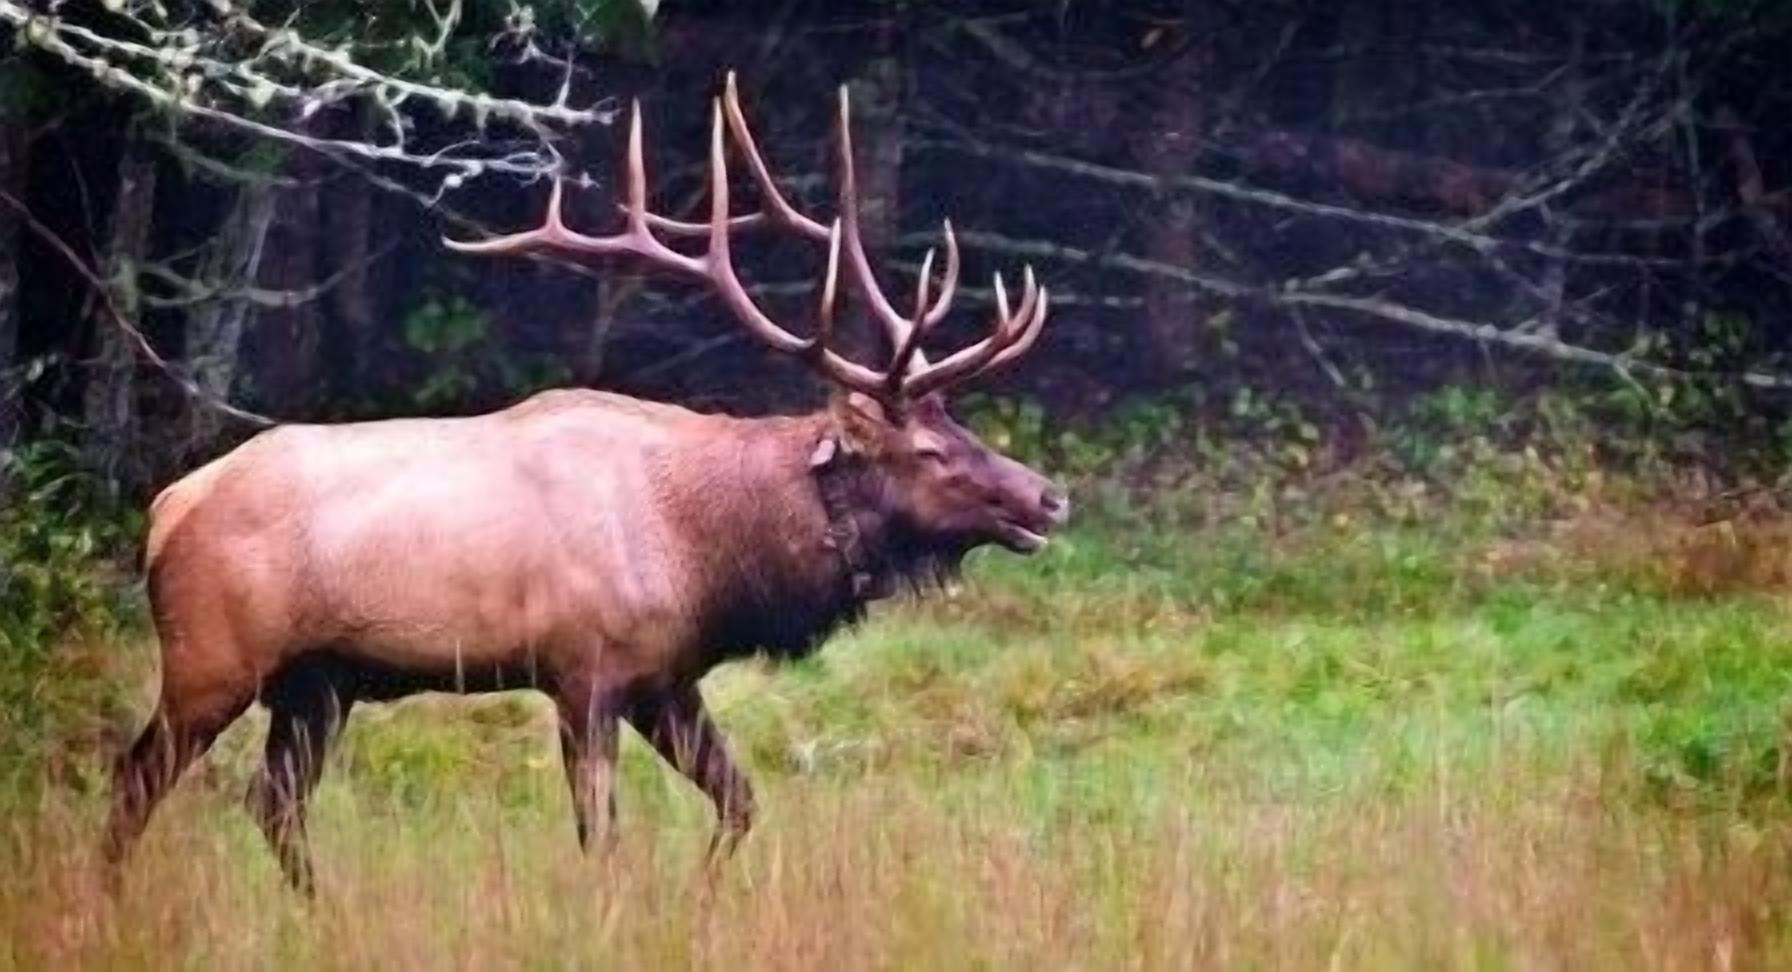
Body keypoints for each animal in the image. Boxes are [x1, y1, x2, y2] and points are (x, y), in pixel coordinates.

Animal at [103, 74, 1068, 895]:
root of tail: (166, 511)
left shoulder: (666, 678)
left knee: (272, 803)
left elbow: (741, 802)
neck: (711, 552)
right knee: (135, 778)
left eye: (963, 428)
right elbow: (600, 838)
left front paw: (700, 899)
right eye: (929, 452)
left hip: (316, 683)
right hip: (212, 658)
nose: (1049, 496)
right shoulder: (584, 671)